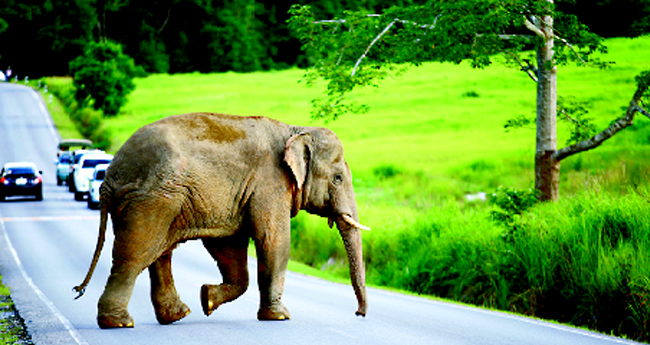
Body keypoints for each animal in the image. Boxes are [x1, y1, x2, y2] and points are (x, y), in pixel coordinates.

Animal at [73, 112, 368, 328]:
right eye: (338, 178)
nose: (358, 314)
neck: (295, 129)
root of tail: (109, 177)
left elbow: (229, 248)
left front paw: (207, 299)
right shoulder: (270, 182)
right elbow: (274, 241)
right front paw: (280, 317)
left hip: (162, 197)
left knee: (159, 252)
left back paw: (177, 315)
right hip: (152, 197)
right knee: (136, 253)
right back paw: (119, 324)